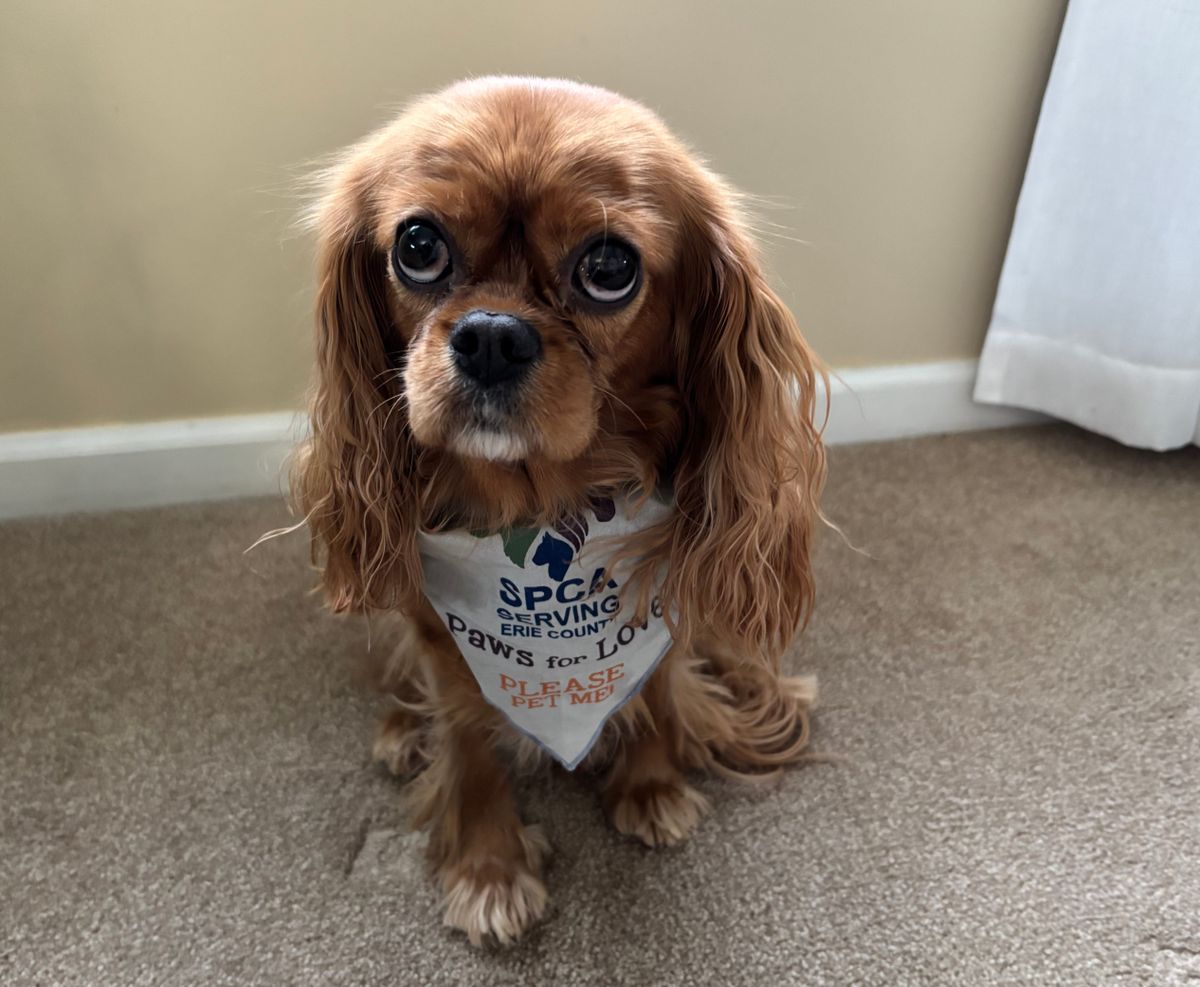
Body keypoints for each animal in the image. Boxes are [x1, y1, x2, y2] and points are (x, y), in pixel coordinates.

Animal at [290, 75, 825, 941]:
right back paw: (403, 731)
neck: (541, 509)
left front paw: (651, 785)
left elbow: (658, 689)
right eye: (418, 246)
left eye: (608, 266)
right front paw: (489, 866)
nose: (491, 335)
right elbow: (468, 740)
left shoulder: (661, 613)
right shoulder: (443, 638)